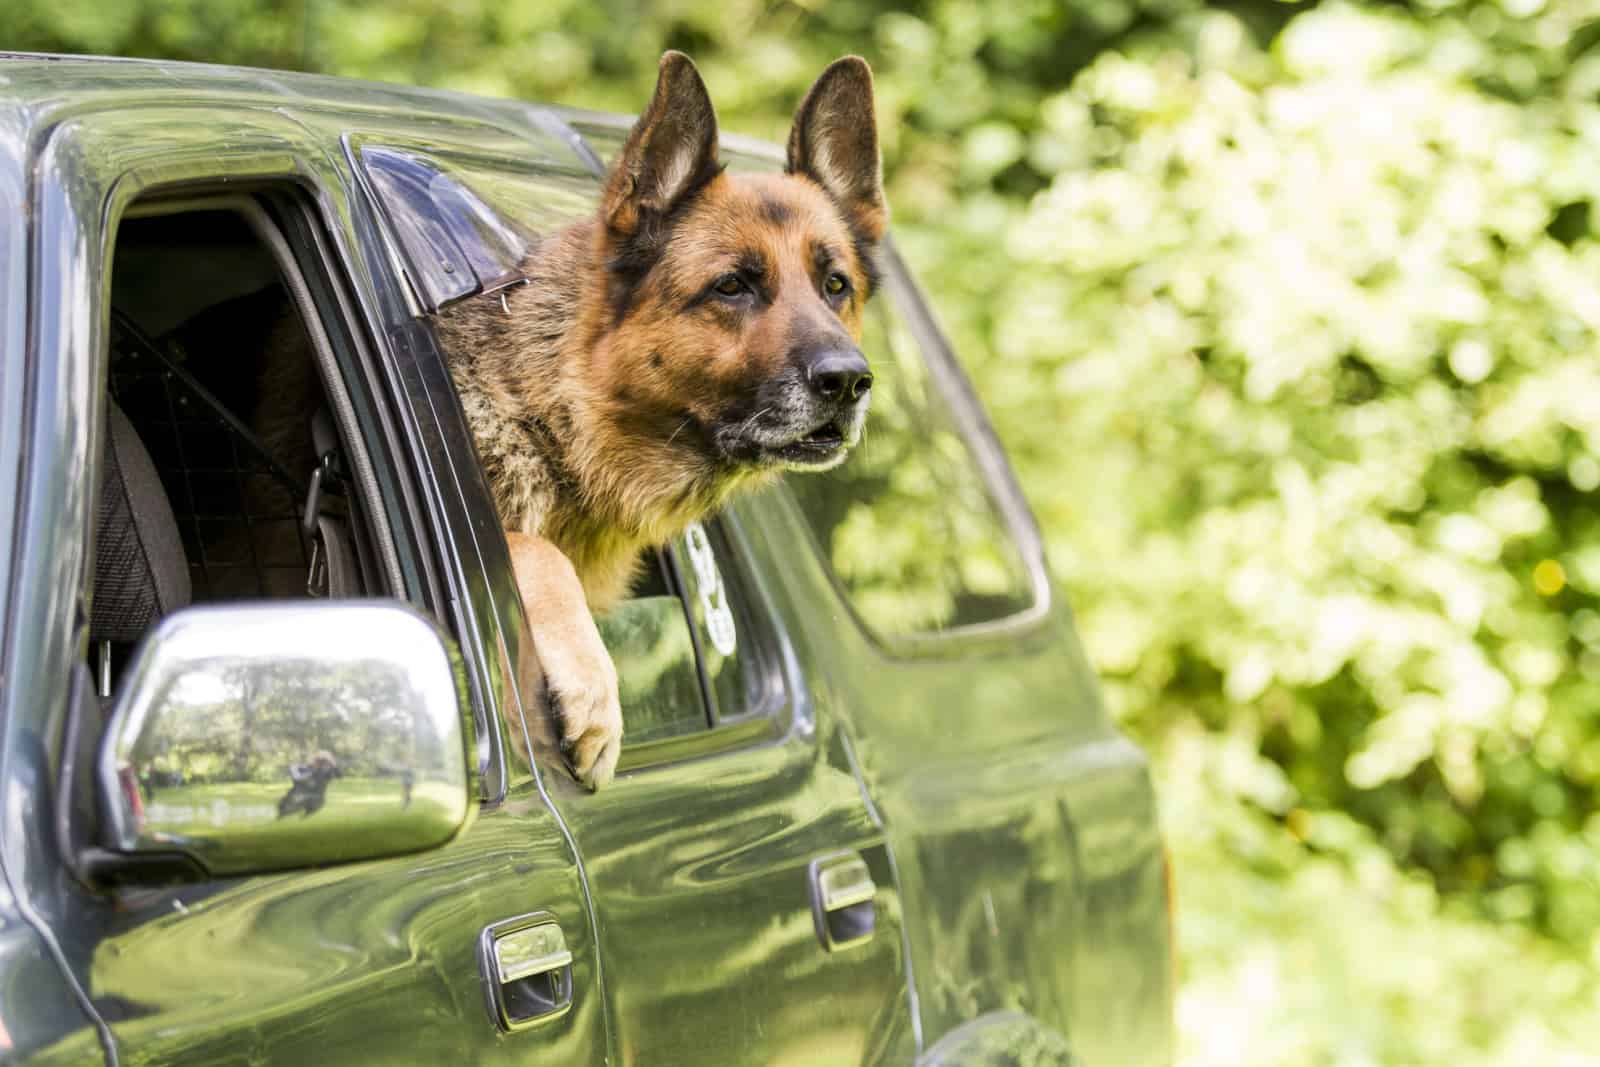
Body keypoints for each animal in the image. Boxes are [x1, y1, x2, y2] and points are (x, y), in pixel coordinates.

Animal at [435, 56, 889, 793]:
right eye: (732, 286)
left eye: (835, 285)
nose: (849, 381)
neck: (551, 411)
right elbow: (532, 548)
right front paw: (593, 695)